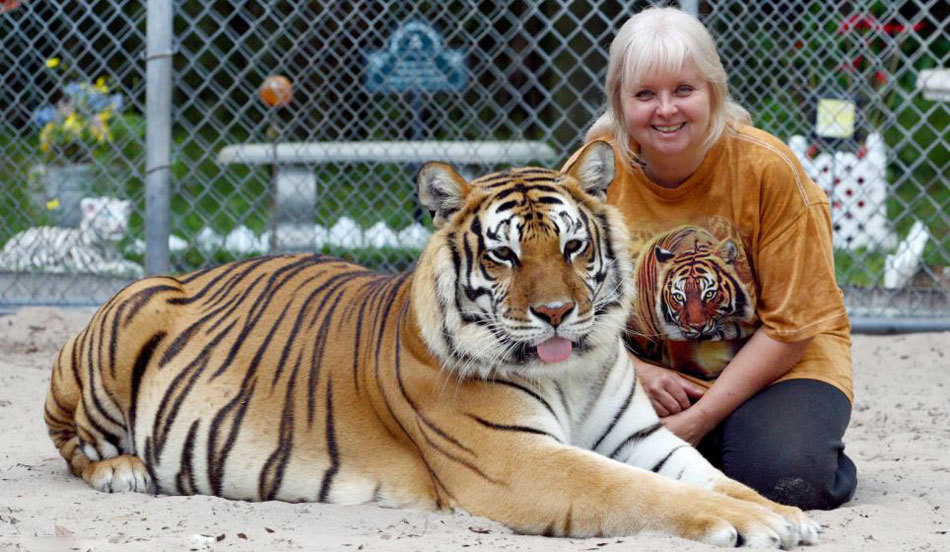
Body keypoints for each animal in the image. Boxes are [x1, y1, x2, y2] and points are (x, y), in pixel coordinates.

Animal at [42, 142, 820, 548]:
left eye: (572, 247)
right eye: (505, 256)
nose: (558, 314)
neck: (573, 373)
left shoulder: (639, 438)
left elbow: (707, 476)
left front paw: (777, 510)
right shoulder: (518, 460)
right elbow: (637, 491)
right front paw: (752, 522)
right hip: (126, 324)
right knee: (72, 443)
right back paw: (123, 471)